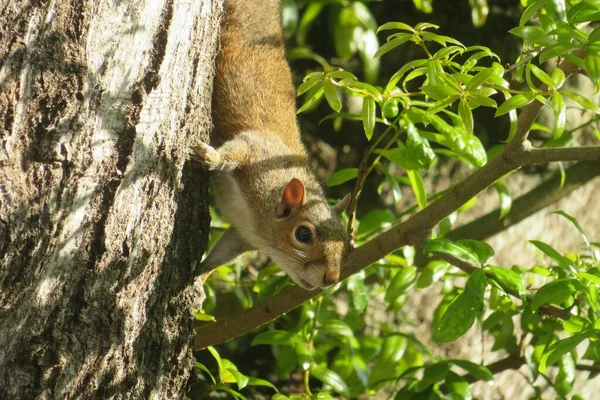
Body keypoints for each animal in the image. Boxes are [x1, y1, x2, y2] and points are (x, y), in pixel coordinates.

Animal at [191, 0, 352, 290]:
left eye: (344, 240)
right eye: (303, 234)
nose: (331, 279)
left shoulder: (243, 234)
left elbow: (221, 255)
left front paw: (199, 281)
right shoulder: (255, 150)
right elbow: (234, 150)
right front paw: (211, 157)